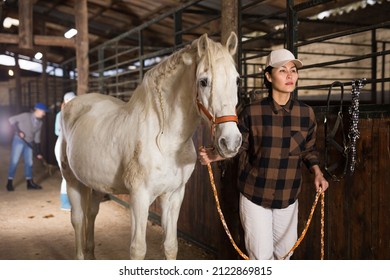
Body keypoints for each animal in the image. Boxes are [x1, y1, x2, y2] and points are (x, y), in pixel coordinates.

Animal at [59, 32, 242, 260]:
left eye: (237, 80)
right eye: (203, 81)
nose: (231, 142)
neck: (165, 140)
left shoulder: (174, 195)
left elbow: (171, 246)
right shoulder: (139, 197)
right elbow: (138, 249)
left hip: (94, 183)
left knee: (91, 215)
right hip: (71, 180)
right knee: (77, 219)